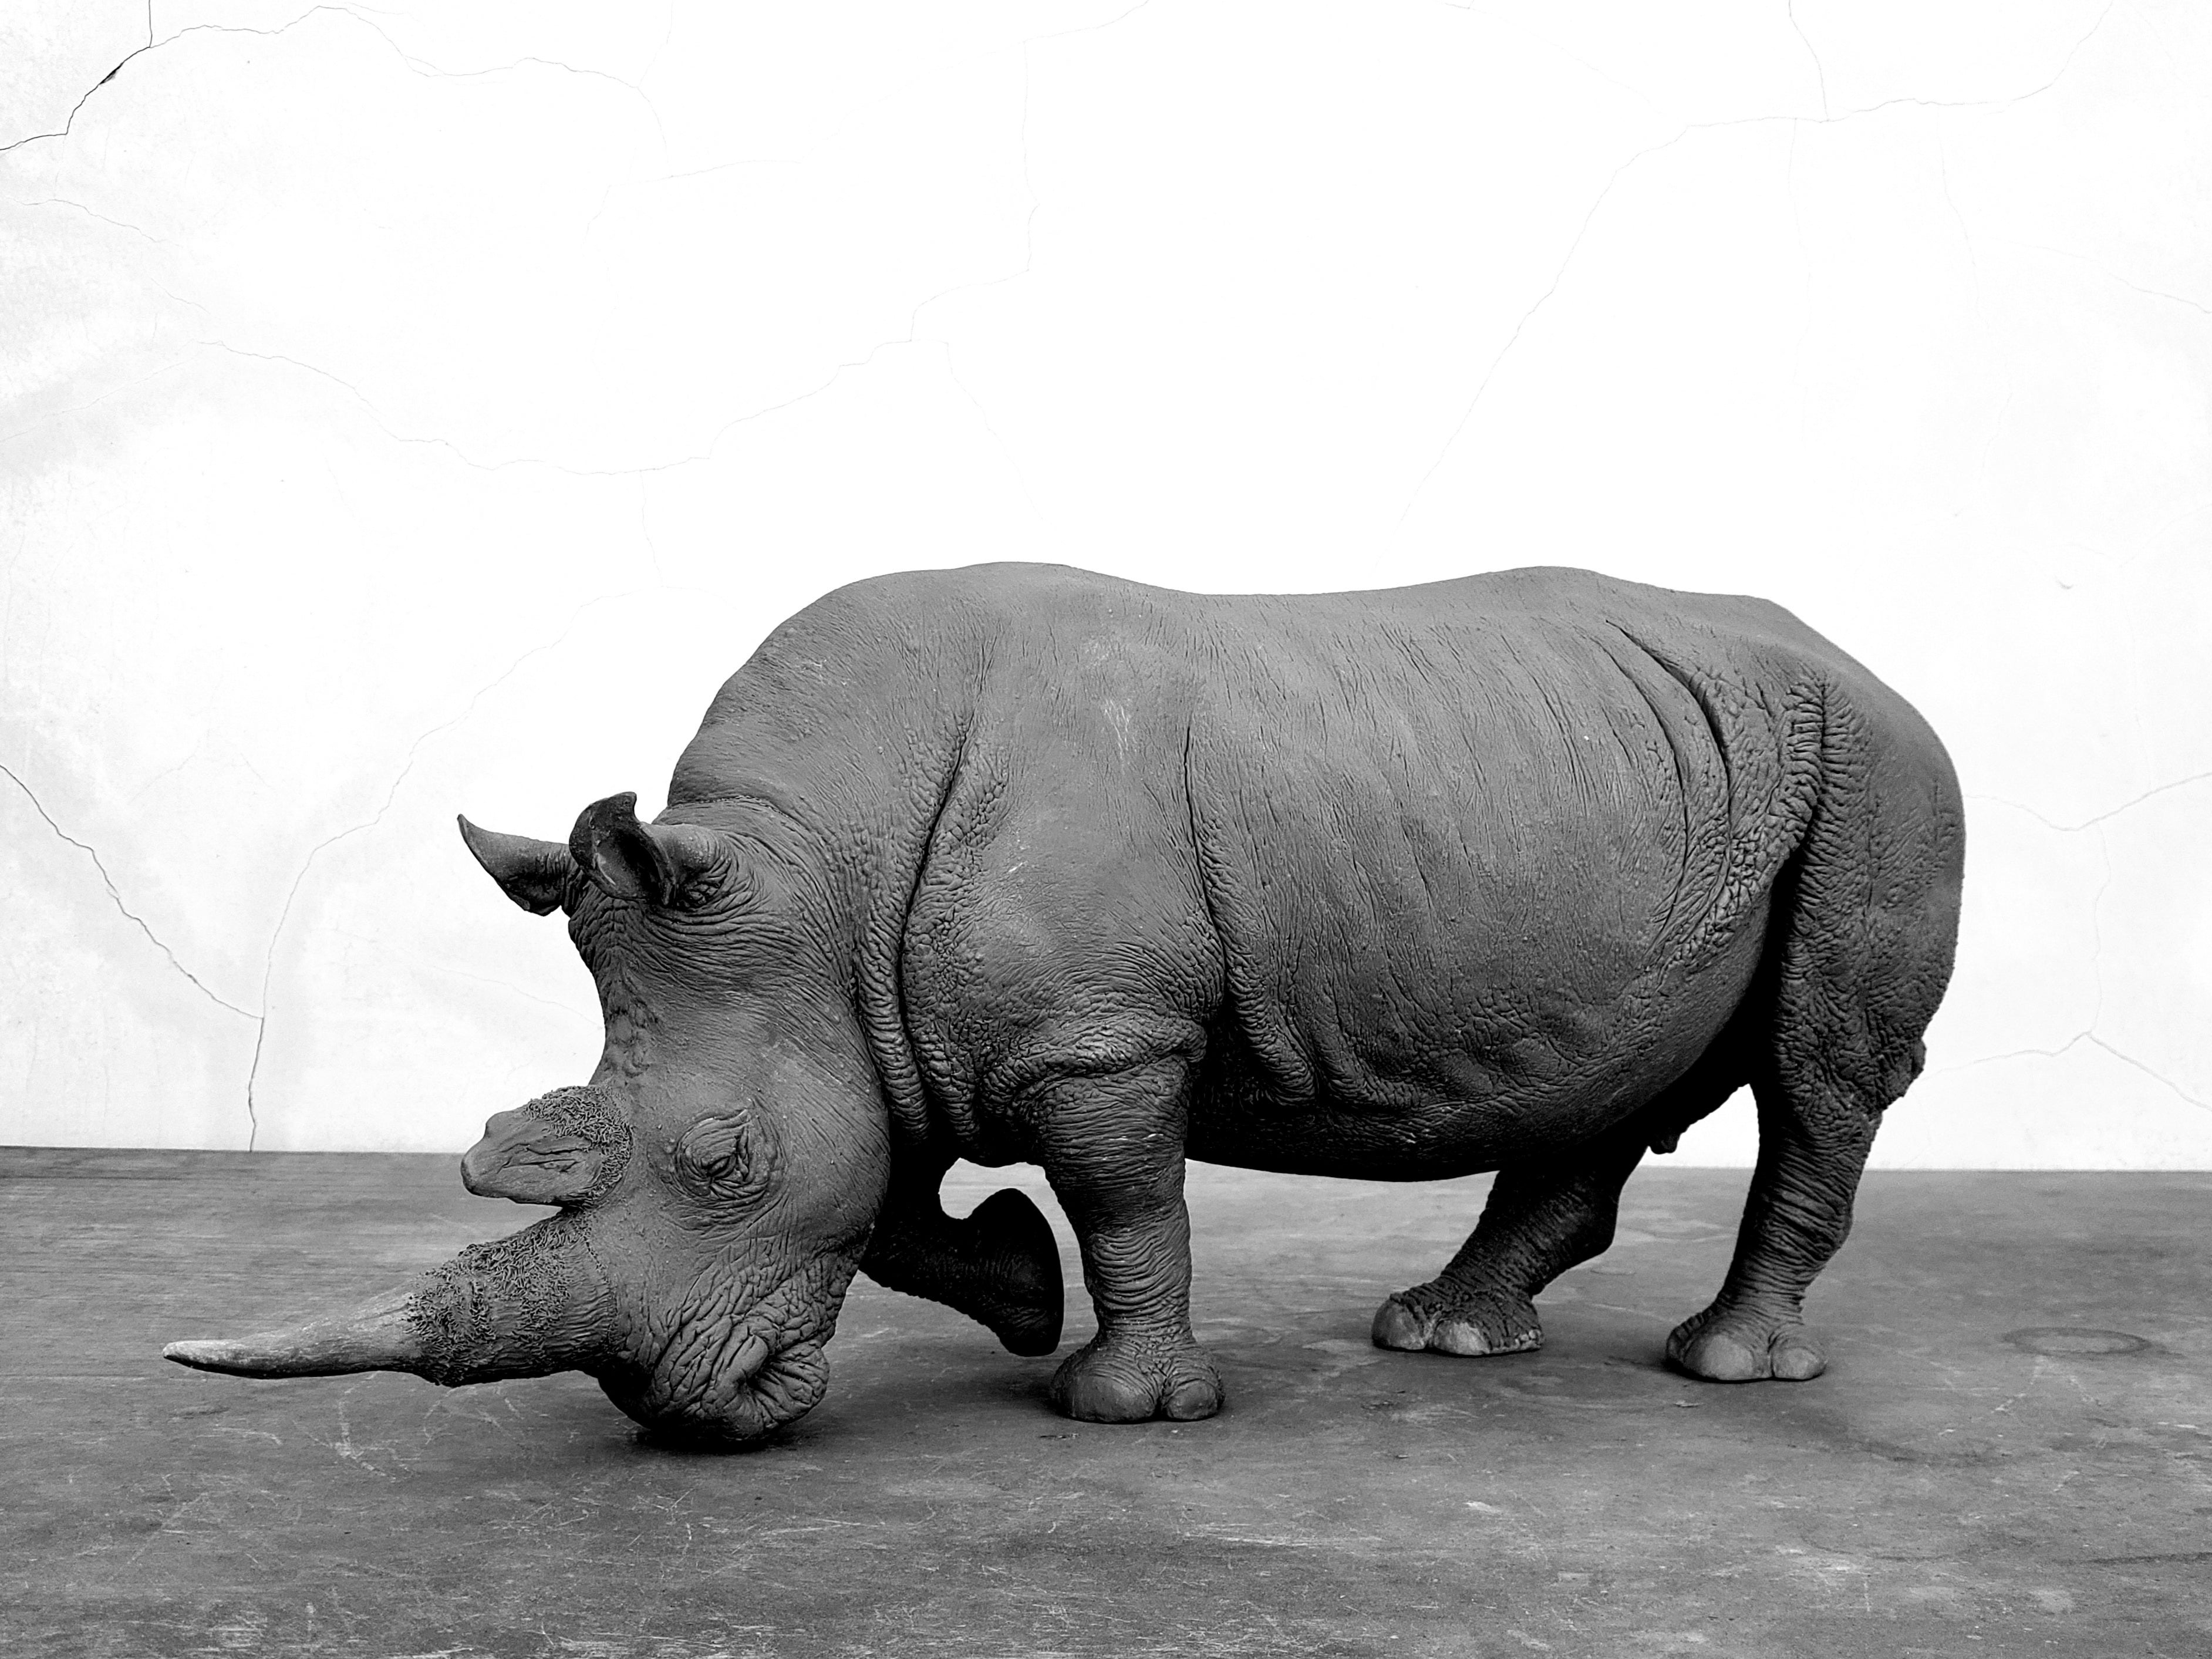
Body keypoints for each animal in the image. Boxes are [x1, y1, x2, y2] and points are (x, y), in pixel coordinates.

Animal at [166, 563, 1963, 1444]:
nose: (686, 1411)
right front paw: (1024, 1298)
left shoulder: (1099, 1035)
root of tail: (1873, 665)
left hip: (1882, 775)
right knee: (1602, 1068)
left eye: (720, 1164)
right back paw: (1447, 1334)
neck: (809, 866)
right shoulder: (874, 1012)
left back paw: (1727, 1367)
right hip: (1648, 774)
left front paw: (1125, 1404)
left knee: (1822, 1070)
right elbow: (895, 1199)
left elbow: (1123, 1198)